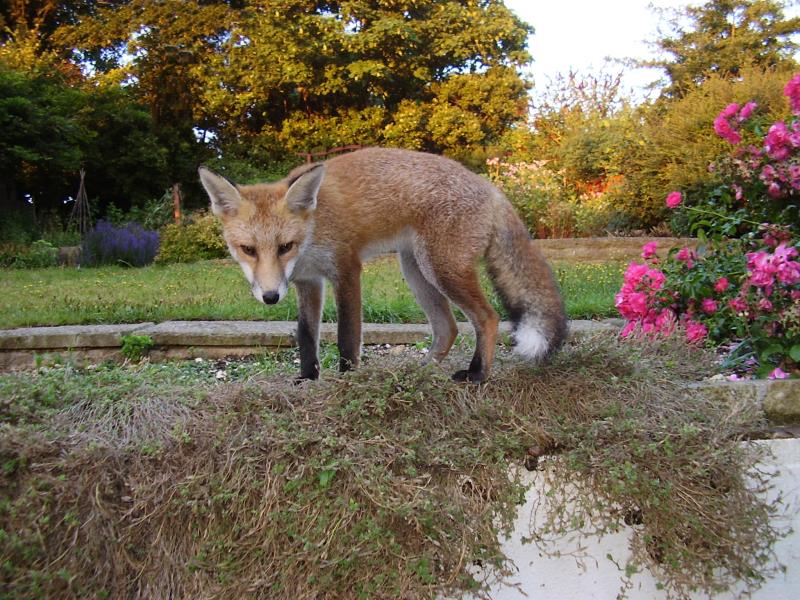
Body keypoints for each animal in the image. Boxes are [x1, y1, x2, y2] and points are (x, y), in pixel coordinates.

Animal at [196, 148, 564, 382]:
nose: (270, 297)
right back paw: (422, 371)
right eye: (248, 249)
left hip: (440, 269)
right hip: (415, 271)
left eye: (285, 246)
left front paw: (347, 377)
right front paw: (308, 377)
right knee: (448, 328)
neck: (314, 229)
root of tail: (490, 187)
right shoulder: (307, 282)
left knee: (487, 318)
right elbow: (306, 335)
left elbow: (347, 335)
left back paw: (478, 375)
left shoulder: (345, 269)